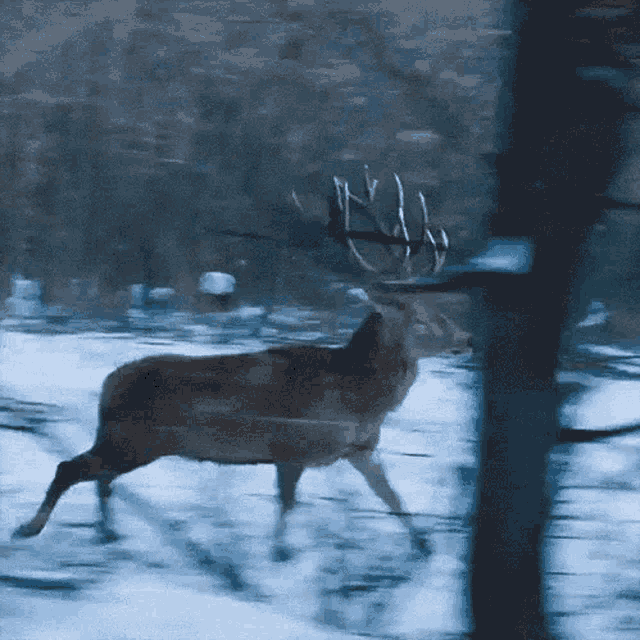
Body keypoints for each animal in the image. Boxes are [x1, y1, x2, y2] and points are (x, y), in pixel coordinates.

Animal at [13, 166, 466, 562]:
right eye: (421, 319)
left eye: (442, 309)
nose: (466, 339)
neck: (359, 396)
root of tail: (108, 383)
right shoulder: (291, 445)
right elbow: (287, 503)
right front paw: (280, 554)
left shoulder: (361, 449)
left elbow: (392, 496)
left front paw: (425, 548)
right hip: (135, 438)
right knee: (71, 468)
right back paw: (30, 528)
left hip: (130, 440)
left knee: (100, 479)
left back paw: (108, 533)